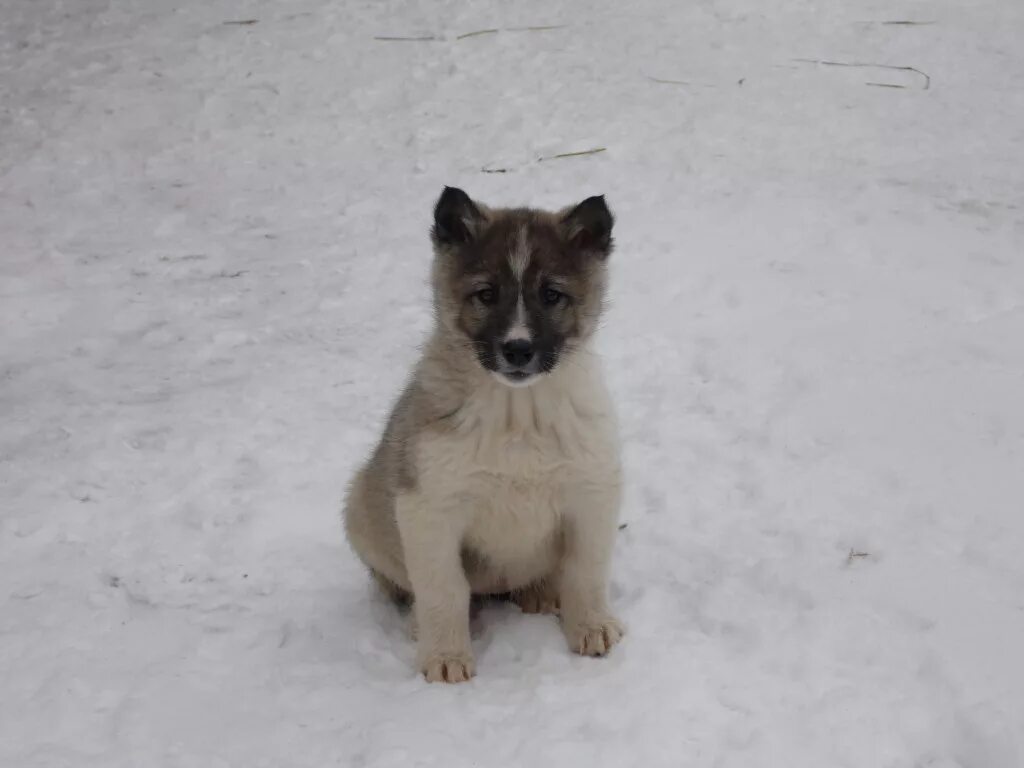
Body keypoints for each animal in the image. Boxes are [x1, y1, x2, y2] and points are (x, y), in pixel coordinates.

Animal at [344, 189, 622, 684]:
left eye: (552, 295)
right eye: (486, 294)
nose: (518, 349)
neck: (518, 414)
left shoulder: (593, 491)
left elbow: (585, 572)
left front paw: (591, 626)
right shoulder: (429, 507)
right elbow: (444, 589)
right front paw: (446, 656)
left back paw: (540, 592)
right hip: (361, 504)